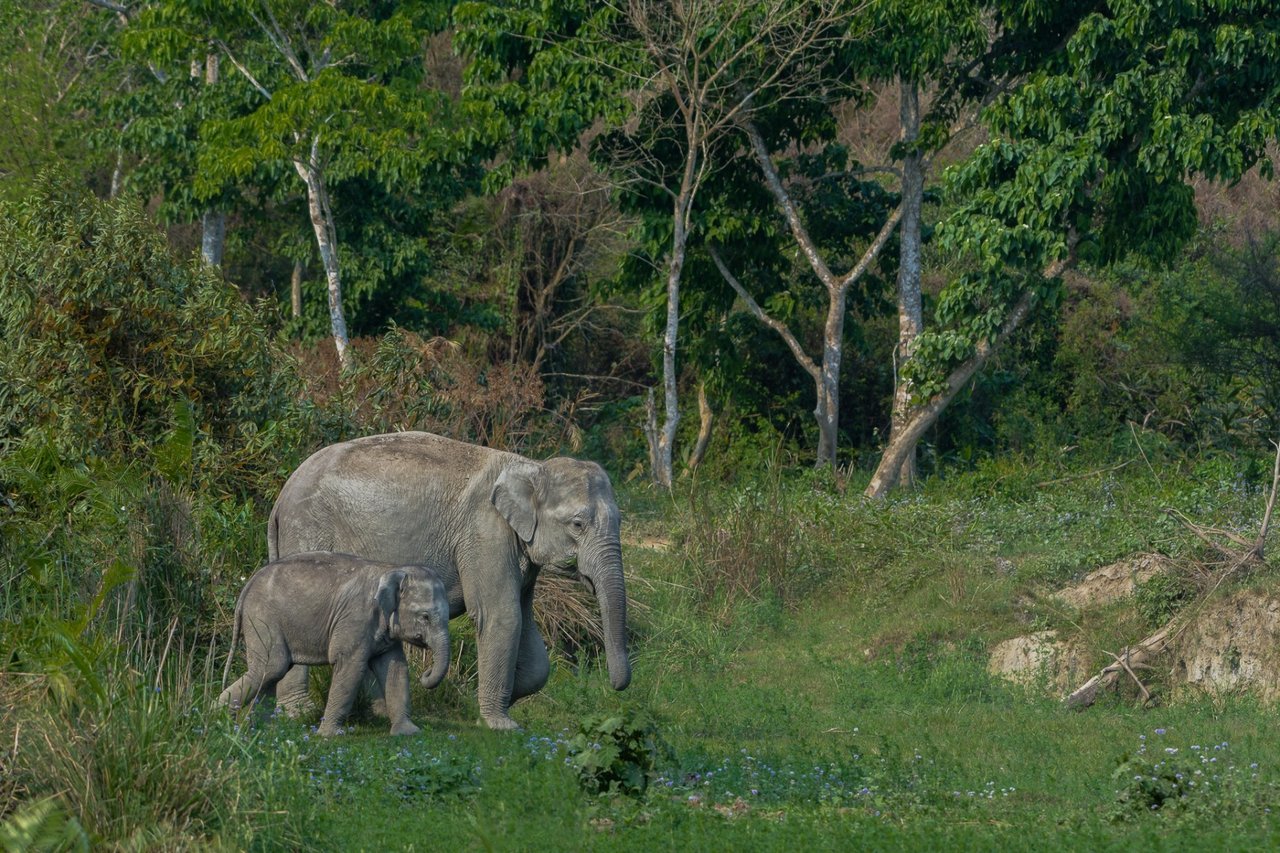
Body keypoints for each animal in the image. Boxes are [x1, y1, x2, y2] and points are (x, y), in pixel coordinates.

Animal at [222, 548, 453, 732]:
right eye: (425, 616)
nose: (425, 673)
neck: (391, 570)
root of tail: (248, 585)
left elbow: (396, 669)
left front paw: (408, 732)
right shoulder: (355, 619)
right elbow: (350, 666)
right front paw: (327, 736)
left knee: (271, 675)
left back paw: (259, 729)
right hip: (262, 618)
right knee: (271, 668)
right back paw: (219, 718)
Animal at [270, 427, 629, 727]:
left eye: (620, 521)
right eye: (577, 524)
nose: (615, 687)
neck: (532, 467)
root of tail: (281, 497)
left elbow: (526, 629)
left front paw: (496, 706)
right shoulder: (484, 534)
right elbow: (502, 616)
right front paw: (499, 724)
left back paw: (376, 712)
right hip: (307, 529)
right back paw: (298, 713)